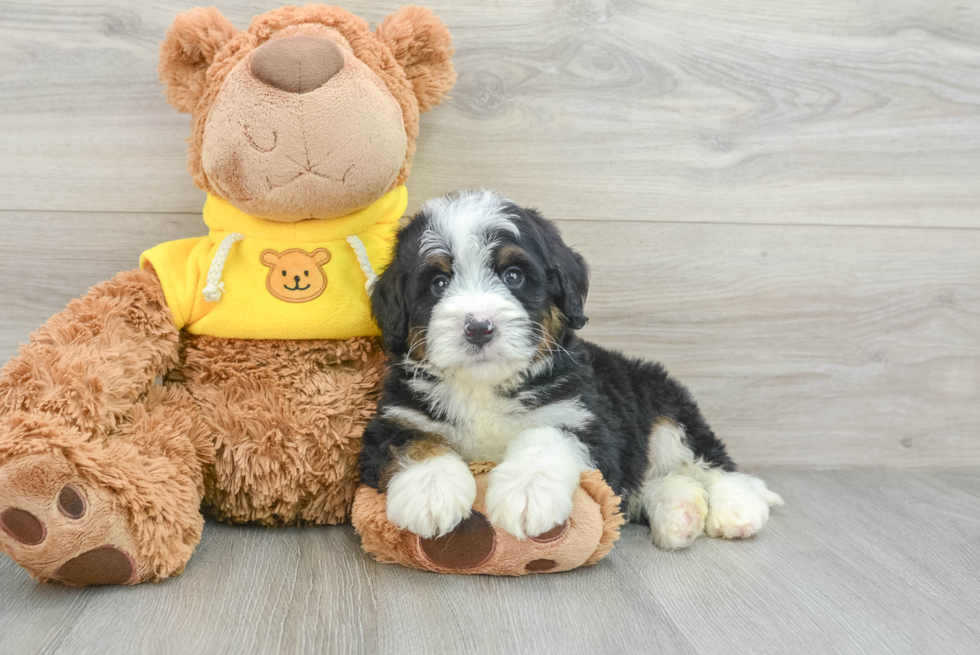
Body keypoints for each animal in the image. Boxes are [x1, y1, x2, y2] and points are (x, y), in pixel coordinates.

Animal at [358, 191, 780, 548]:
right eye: (439, 282)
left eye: (513, 276)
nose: (479, 327)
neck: (484, 388)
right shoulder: (394, 420)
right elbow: (416, 442)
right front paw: (430, 492)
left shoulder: (587, 420)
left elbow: (546, 436)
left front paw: (527, 493)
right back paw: (679, 513)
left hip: (666, 409)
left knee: (710, 462)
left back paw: (737, 507)